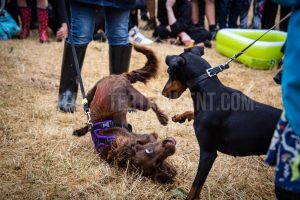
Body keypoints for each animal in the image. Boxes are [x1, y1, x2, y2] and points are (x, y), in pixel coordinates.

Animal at [74, 45, 177, 183]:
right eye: (157, 162)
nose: (171, 147)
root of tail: (120, 76)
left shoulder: (145, 137)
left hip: (136, 100)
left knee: (151, 102)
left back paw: (163, 118)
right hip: (93, 96)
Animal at [162, 46, 282, 198]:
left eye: (169, 72)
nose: (162, 92)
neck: (207, 89)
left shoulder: (208, 154)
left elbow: (194, 188)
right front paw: (180, 117)